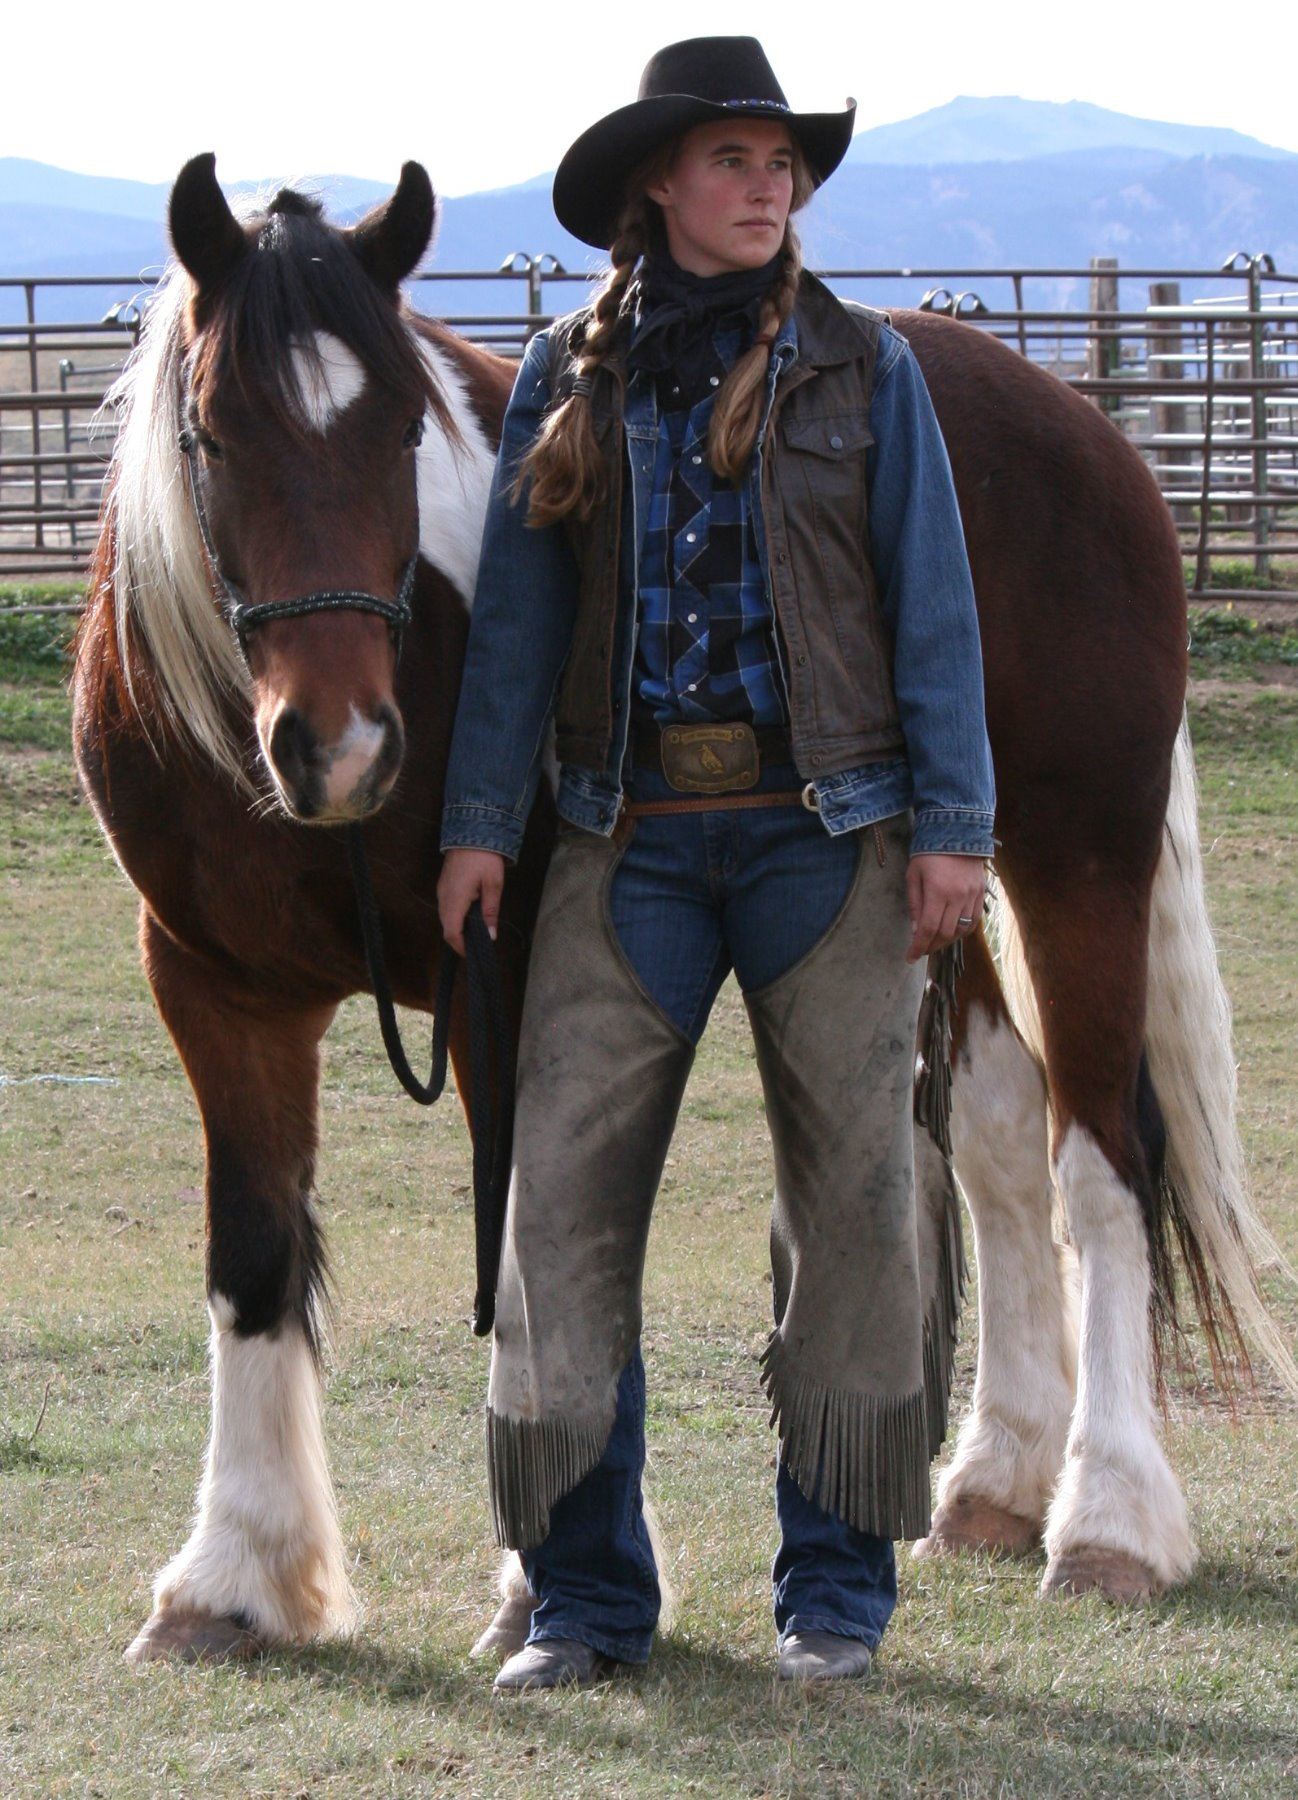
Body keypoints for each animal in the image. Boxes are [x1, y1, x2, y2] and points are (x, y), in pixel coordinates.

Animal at [72, 153, 1294, 1664]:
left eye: (401, 430)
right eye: (213, 436)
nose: (341, 744)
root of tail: (1083, 430)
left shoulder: (503, 980)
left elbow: (533, 1252)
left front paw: (534, 1582)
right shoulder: (214, 991)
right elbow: (252, 1255)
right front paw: (233, 1577)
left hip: (1078, 863)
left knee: (1100, 1162)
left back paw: (1108, 1519)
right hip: (950, 905)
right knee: (1006, 1152)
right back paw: (996, 1482)